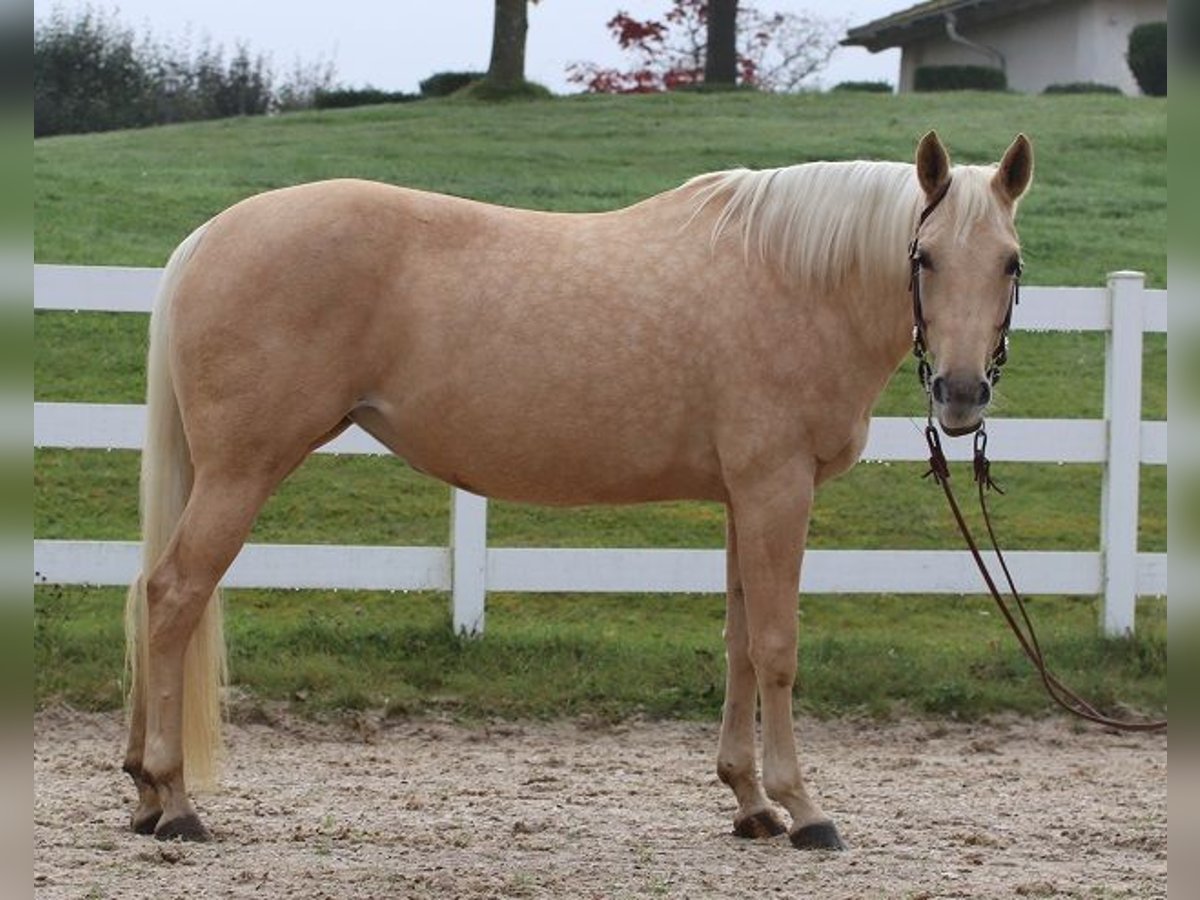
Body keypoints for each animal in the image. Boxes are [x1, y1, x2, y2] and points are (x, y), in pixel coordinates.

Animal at [126, 130, 1036, 849]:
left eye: (1010, 263)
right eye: (924, 257)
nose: (960, 395)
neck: (795, 278)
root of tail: (207, 238)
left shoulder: (744, 498)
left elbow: (741, 642)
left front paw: (750, 803)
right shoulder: (778, 490)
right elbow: (779, 648)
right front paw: (804, 809)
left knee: (148, 594)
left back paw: (142, 790)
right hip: (242, 471)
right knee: (173, 596)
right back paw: (175, 801)